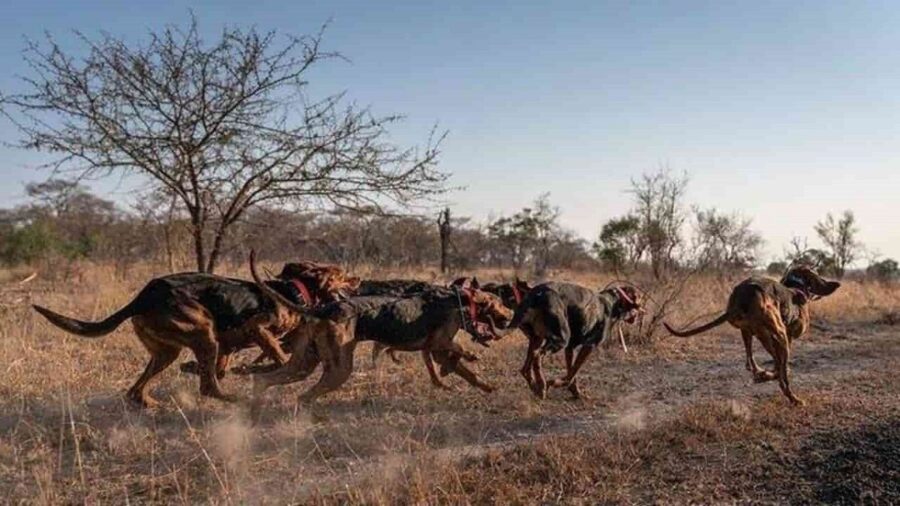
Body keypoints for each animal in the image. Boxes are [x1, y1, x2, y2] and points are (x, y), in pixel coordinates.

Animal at [31, 260, 356, 408]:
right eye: (343, 274)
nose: (359, 278)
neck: (294, 290)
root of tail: (143, 296)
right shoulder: (257, 327)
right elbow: (276, 355)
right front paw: (255, 369)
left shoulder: (226, 346)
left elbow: (229, 365)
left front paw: (201, 368)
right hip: (203, 332)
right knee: (209, 388)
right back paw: (234, 399)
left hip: (168, 351)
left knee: (136, 390)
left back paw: (152, 403)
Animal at [248, 253, 512, 408]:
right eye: (498, 302)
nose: (510, 316)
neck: (460, 300)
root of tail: (323, 309)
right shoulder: (439, 344)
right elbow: (458, 350)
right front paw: (468, 358)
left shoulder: (438, 351)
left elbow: (467, 373)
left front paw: (486, 387)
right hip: (339, 368)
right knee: (303, 396)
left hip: (302, 364)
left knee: (264, 380)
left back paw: (254, 407)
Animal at [506, 280, 648, 400]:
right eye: (640, 297)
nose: (643, 311)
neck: (614, 301)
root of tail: (536, 293)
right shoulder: (589, 346)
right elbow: (572, 374)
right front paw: (553, 383)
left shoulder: (570, 348)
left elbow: (571, 373)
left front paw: (575, 392)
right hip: (560, 339)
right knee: (537, 356)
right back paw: (541, 386)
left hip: (537, 339)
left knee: (525, 368)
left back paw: (535, 387)